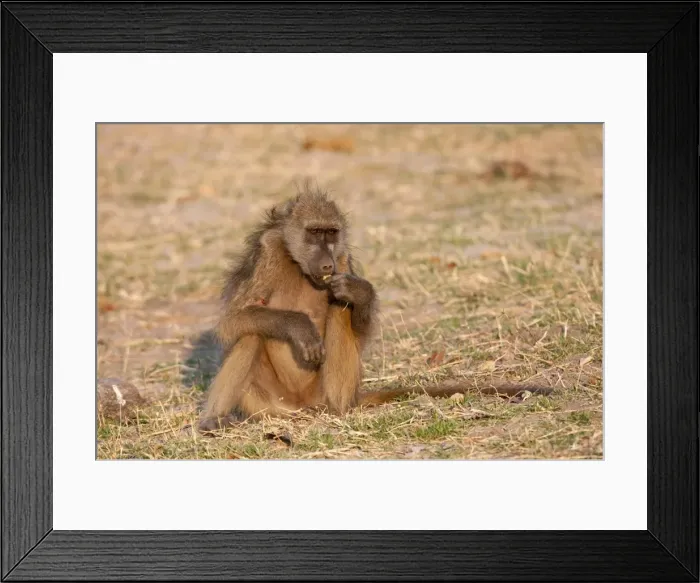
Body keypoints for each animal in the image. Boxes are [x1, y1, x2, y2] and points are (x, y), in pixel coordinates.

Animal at [197, 184, 553, 434]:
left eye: (331, 234)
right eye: (314, 233)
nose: (326, 264)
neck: (299, 265)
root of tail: (307, 407)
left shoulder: (343, 261)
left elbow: (357, 321)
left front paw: (361, 292)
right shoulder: (267, 252)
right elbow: (231, 322)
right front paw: (299, 327)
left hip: (329, 391)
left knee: (338, 309)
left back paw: (339, 408)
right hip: (271, 406)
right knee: (251, 332)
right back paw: (215, 420)